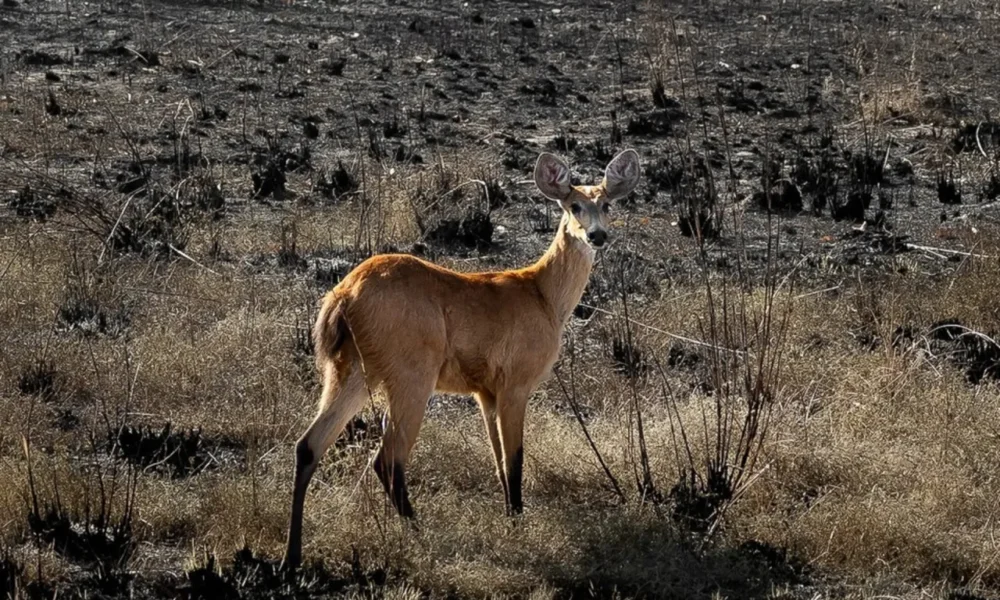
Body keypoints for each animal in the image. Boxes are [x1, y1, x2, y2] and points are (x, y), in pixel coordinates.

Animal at [282, 148, 640, 568]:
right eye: (573, 205)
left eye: (607, 204)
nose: (597, 235)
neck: (543, 296)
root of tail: (344, 294)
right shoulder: (516, 383)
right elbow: (515, 461)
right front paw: (518, 526)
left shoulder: (485, 392)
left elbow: (499, 463)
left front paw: (510, 518)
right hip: (411, 374)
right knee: (386, 458)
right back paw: (421, 537)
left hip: (350, 371)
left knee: (309, 444)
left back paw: (292, 558)